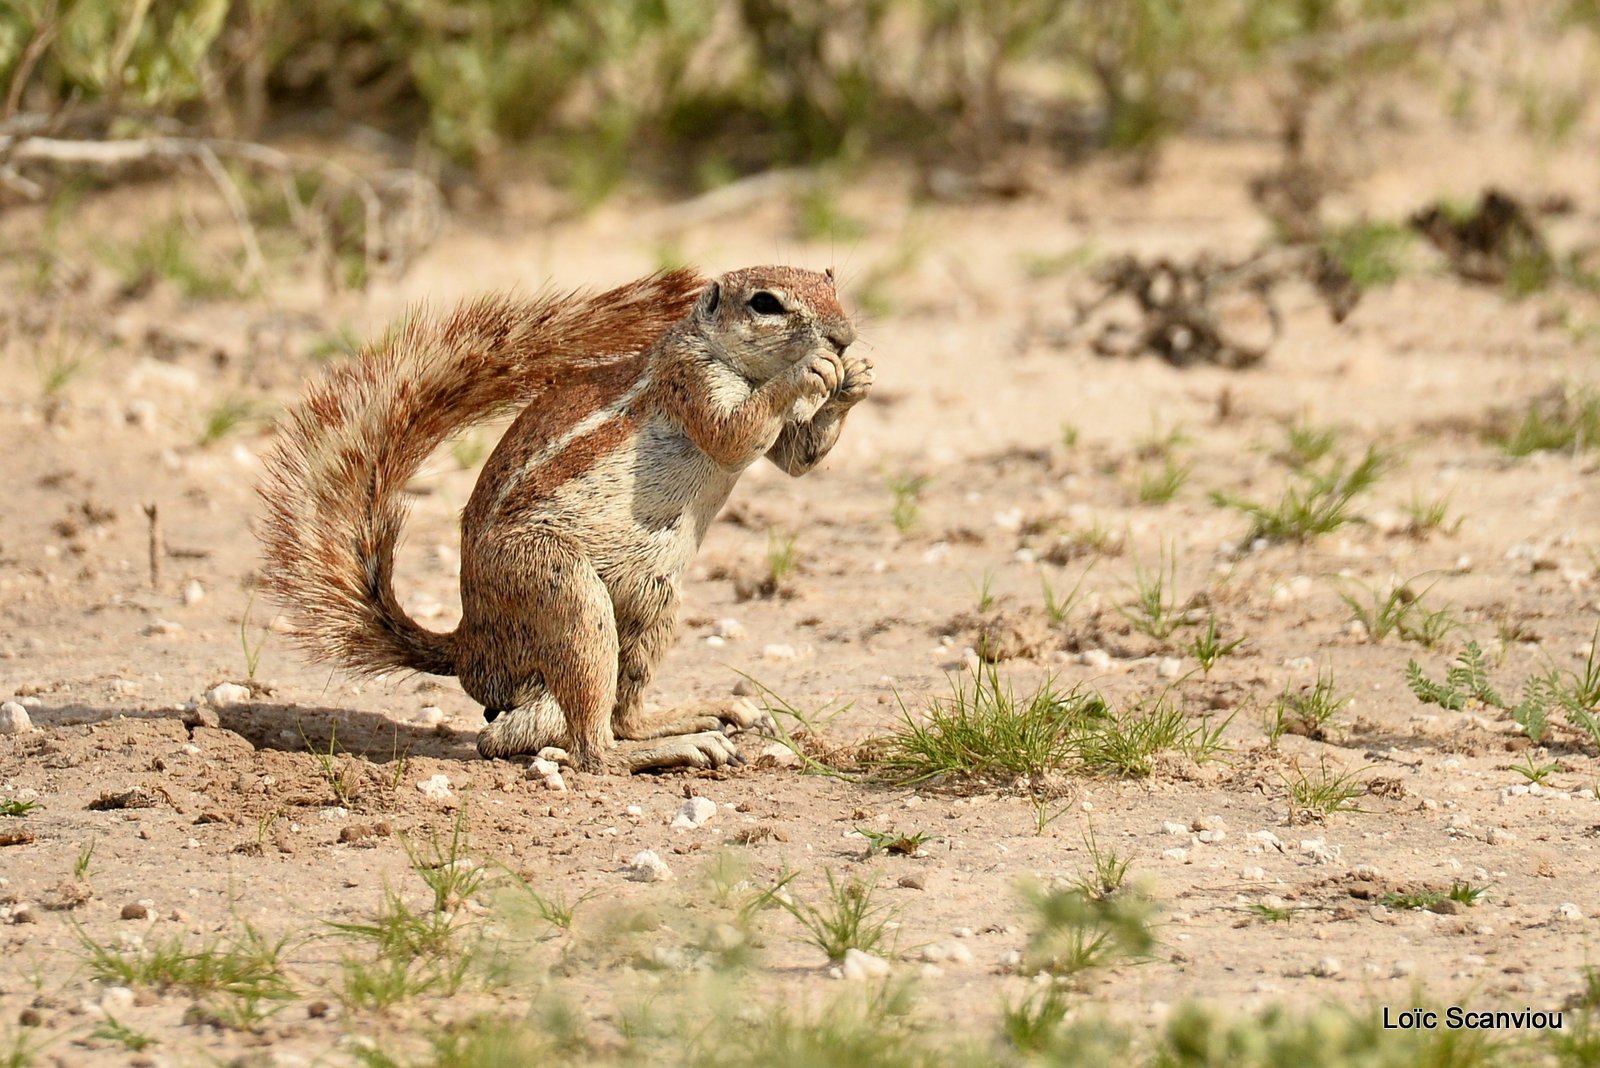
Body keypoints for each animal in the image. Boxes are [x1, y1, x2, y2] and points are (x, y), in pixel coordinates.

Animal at [259, 263, 876, 770]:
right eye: (765, 303)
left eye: (831, 281)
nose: (843, 336)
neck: (728, 358)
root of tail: (469, 648)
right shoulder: (690, 381)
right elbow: (733, 433)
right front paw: (809, 373)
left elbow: (796, 458)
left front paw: (856, 378)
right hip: (562, 592)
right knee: (582, 747)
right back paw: (672, 749)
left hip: (653, 602)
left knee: (607, 718)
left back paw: (697, 715)